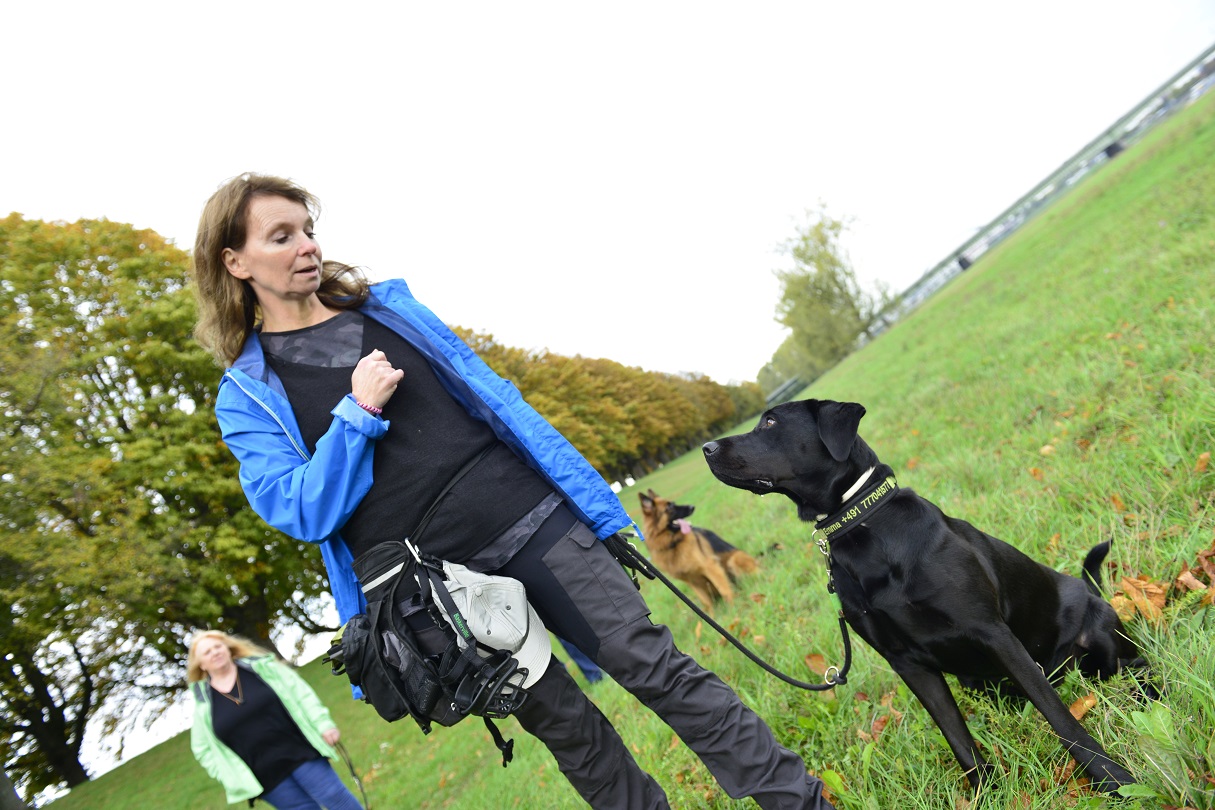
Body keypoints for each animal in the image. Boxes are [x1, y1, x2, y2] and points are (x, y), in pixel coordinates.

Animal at [699, 398, 1142, 791]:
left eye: (771, 422)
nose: (707, 449)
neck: (862, 526)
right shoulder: (907, 663)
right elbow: (958, 738)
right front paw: (985, 792)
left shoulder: (994, 633)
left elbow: (1059, 717)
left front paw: (1114, 779)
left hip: (1103, 638)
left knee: (1133, 667)